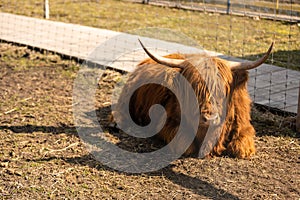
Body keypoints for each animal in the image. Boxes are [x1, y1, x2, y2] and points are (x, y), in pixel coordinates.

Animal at [112, 40, 272, 159]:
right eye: (193, 88)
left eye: (221, 91)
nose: (208, 117)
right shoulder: (167, 124)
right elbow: (185, 144)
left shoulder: (244, 126)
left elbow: (242, 147)